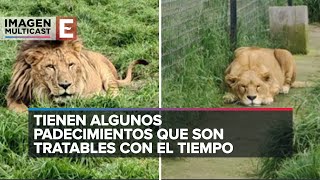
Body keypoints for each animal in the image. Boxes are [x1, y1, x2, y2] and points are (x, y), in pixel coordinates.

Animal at [5, 40, 149, 112]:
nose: (65, 85)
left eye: (71, 65)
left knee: (115, 95)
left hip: (106, 73)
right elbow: (21, 109)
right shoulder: (13, 96)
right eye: (50, 66)